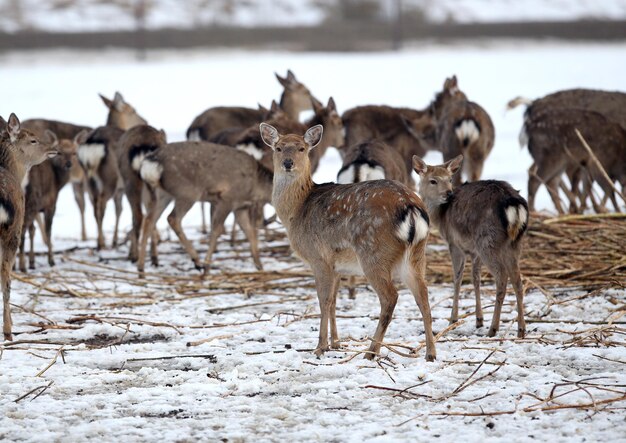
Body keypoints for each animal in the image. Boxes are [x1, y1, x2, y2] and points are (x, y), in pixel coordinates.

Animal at [136, 142, 272, 276]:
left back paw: (141, 266)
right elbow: (216, 230)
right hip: (188, 192)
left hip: (163, 193)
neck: (256, 187)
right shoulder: (227, 199)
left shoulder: (240, 207)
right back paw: (197, 261)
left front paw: (259, 264)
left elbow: (249, 231)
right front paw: (207, 267)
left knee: (149, 219)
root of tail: (150, 164)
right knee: (172, 218)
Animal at [258, 123, 434, 362]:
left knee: (390, 297)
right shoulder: (337, 264)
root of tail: (411, 207)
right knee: (423, 295)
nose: (288, 163)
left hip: (373, 252)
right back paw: (430, 353)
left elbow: (323, 300)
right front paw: (336, 343)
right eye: (278, 148)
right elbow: (333, 301)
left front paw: (320, 347)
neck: (297, 211)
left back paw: (371, 351)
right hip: (417, 253)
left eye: (302, 148)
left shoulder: (318, 257)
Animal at [414, 154, 528, 338]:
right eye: (433, 180)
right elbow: (476, 278)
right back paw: (521, 329)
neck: (441, 217)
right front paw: (478, 319)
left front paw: (453, 319)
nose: (449, 193)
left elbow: (458, 278)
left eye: (450, 179)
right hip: (513, 243)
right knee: (518, 281)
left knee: (502, 277)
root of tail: (514, 204)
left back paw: (493, 328)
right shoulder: (474, 251)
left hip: (487, 241)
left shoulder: (454, 243)